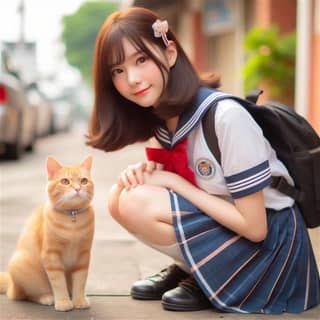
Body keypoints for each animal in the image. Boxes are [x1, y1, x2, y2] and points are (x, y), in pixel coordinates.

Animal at [0, 156, 94, 312]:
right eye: (65, 181)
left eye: (84, 181)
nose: (77, 188)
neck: (72, 217)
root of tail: (12, 285)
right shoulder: (51, 256)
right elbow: (58, 282)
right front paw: (63, 302)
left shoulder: (83, 256)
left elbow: (80, 280)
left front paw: (79, 300)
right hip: (21, 267)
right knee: (24, 295)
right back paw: (46, 297)